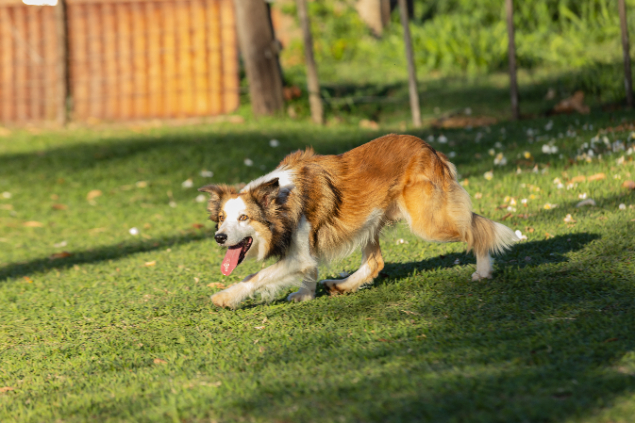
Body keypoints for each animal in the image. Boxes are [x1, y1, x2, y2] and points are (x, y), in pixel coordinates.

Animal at [199, 134, 518, 309]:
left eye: (244, 217)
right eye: (221, 218)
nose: (219, 237)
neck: (280, 199)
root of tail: (430, 148)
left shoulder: (297, 252)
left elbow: (257, 276)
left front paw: (225, 297)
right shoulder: (304, 250)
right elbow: (310, 268)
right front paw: (306, 294)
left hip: (428, 222)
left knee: (476, 228)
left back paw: (483, 270)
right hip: (370, 221)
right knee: (375, 262)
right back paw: (340, 286)